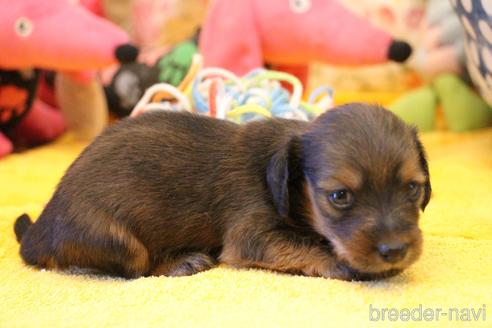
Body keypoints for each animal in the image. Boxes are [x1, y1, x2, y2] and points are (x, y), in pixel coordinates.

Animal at [12, 104, 430, 280]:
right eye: (339, 196)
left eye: (413, 188)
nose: (395, 251)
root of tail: (39, 230)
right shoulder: (252, 235)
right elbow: (308, 245)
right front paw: (342, 263)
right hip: (114, 239)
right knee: (131, 268)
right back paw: (180, 262)